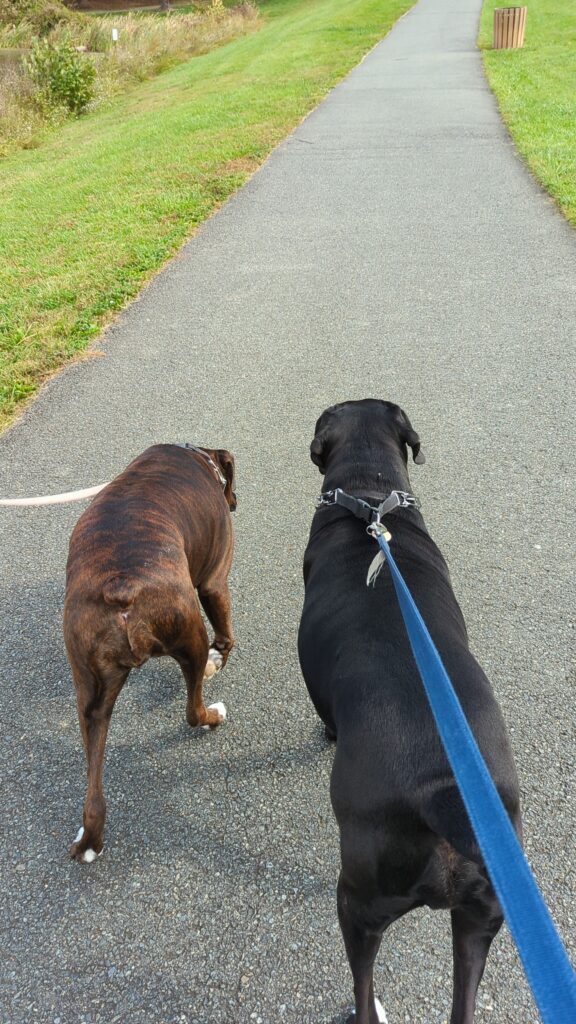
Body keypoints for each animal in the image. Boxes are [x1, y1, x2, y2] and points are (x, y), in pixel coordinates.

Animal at [62, 442, 233, 864]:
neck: (199, 456)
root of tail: (120, 586)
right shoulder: (214, 581)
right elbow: (226, 635)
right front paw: (218, 661)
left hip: (91, 692)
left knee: (93, 794)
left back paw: (89, 841)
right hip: (190, 629)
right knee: (192, 710)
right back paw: (213, 713)